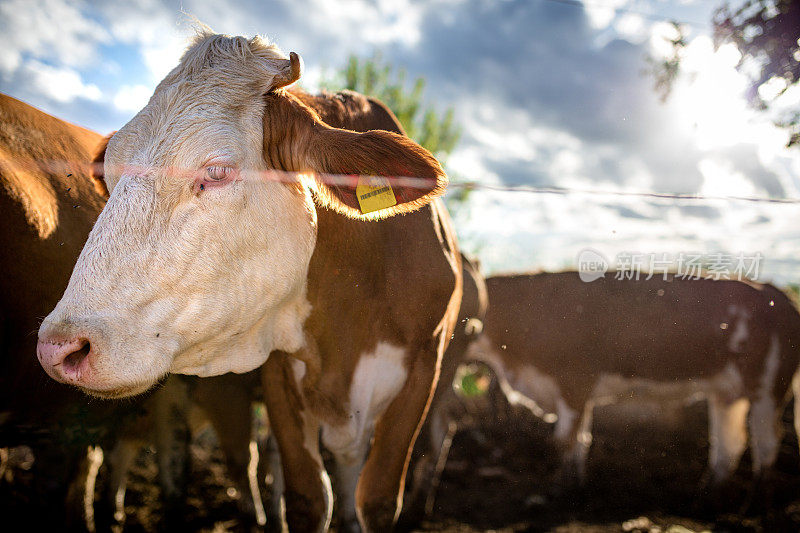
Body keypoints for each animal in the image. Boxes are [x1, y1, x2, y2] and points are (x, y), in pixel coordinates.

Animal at [37, 34, 462, 532]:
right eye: (111, 170)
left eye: (217, 171)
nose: (60, 347)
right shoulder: (279, 377)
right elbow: (307, 498)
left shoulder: (423, 373)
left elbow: (376, 500)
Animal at [462, 272, 800, 488]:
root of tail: (774, 292)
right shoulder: (575, 392)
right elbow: (580, 441)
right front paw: (576, 487)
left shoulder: (574, 382)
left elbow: (564, 441)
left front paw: (560, 490)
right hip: (727, 393)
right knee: (728, 446)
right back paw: (706, 497)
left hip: (768, 388)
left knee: (766, 446)